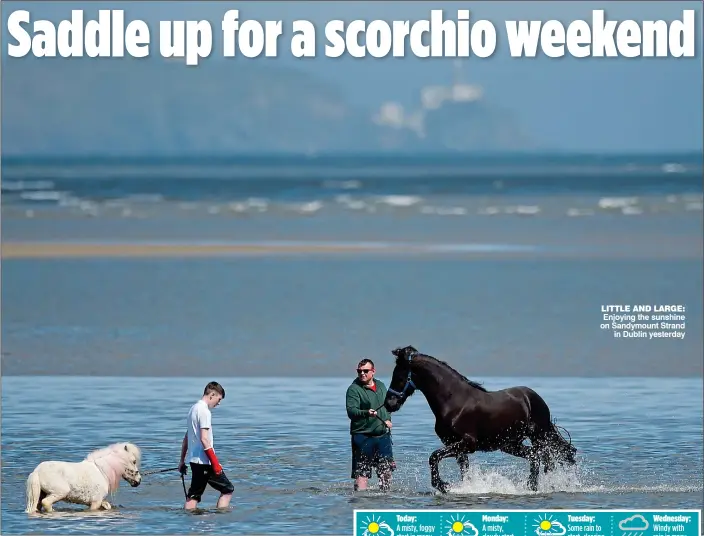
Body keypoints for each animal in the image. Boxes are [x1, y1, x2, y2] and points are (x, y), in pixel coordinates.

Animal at [384, 346, 576, 492]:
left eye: (399, 377)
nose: (388, 404)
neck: (454, 401)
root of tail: (533, 397)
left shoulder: (468, 443)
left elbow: (433, 457)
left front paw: (442, 485)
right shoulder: (454, 445)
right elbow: (464, 471)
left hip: (539, 436)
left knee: (545, 458)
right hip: (510, 444)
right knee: (535, 457)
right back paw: (531, 487)